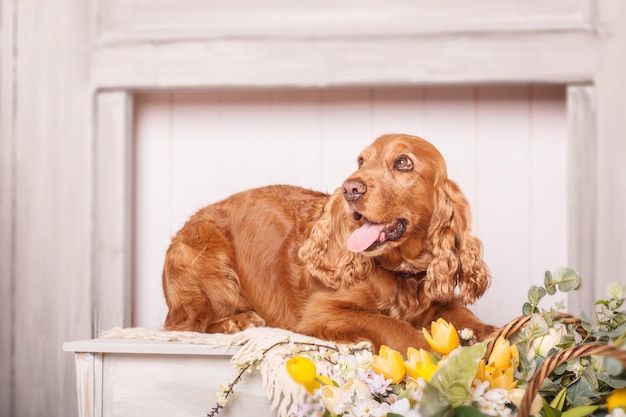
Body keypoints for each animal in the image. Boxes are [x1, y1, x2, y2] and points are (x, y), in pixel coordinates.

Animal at [163, 132, 494, 352]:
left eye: (403, 162)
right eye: (361, 161)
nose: (350, 188)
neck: (401, 273)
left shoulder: (438, 300)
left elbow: (462, 313)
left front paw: (490, 331)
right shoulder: (320, 312)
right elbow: (388, 323)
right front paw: (423, 349)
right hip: (208, 266)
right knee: (186, 323)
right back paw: (237, 322)